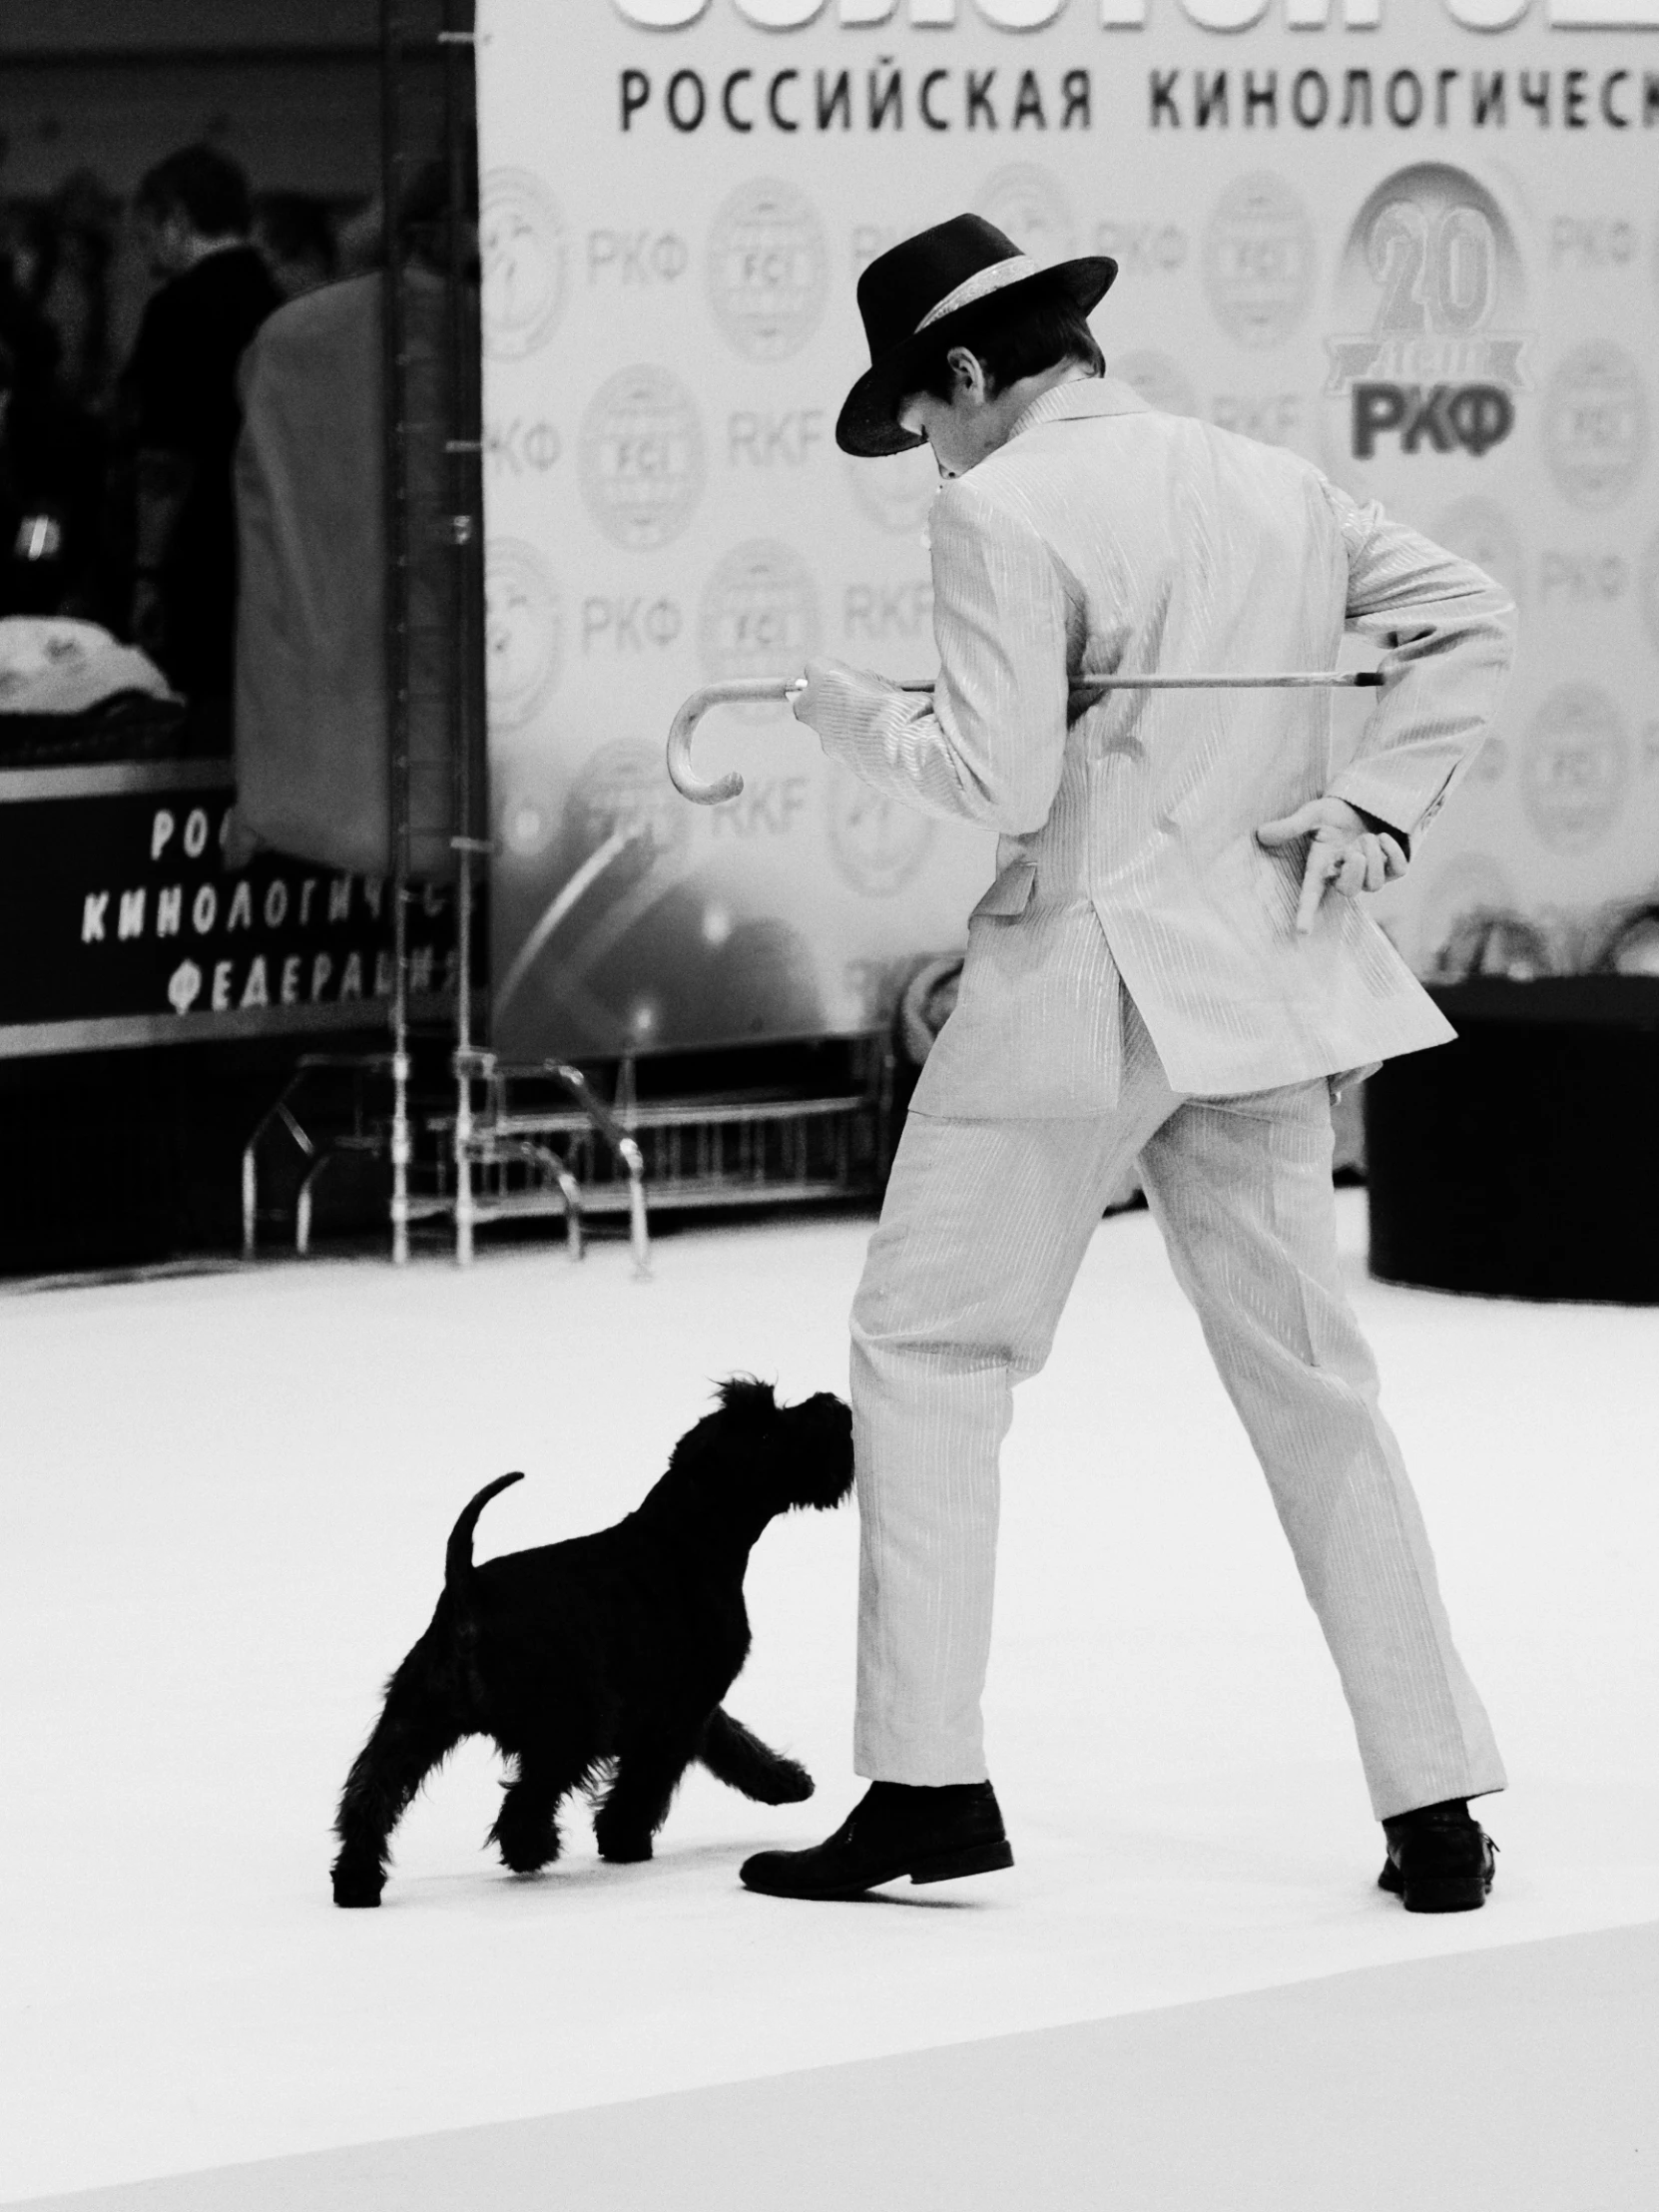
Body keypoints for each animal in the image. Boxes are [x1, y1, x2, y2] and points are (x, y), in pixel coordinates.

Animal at [329, 1380, 848, 1902]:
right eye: (765, 1433)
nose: (832, 1405)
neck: (687, 1539)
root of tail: (467, 1591)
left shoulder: (692, 1706)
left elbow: (735, 1743)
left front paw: (788, 1782)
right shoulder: (677, 1712)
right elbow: (647, 1782)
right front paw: (625, 1841)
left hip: (412, 1722)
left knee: (370, 1794)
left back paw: (357, 1881)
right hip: (566, 1729)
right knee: (524, 1800)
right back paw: (530, 1851)